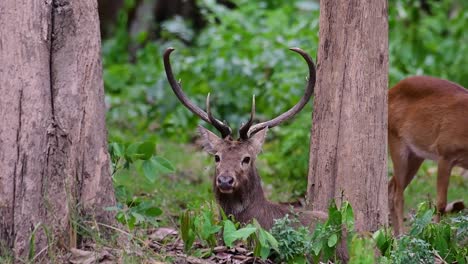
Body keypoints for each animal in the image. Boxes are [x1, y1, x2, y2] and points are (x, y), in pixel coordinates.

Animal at [388, 76, 468, 235]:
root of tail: (390, 91)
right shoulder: (445, 153)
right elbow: (441, 203)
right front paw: (437, 234)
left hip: (416, 155)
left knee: (391, 186)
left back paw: (392, 234)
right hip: (396, 142)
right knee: (397, 195)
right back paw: (402, 235)